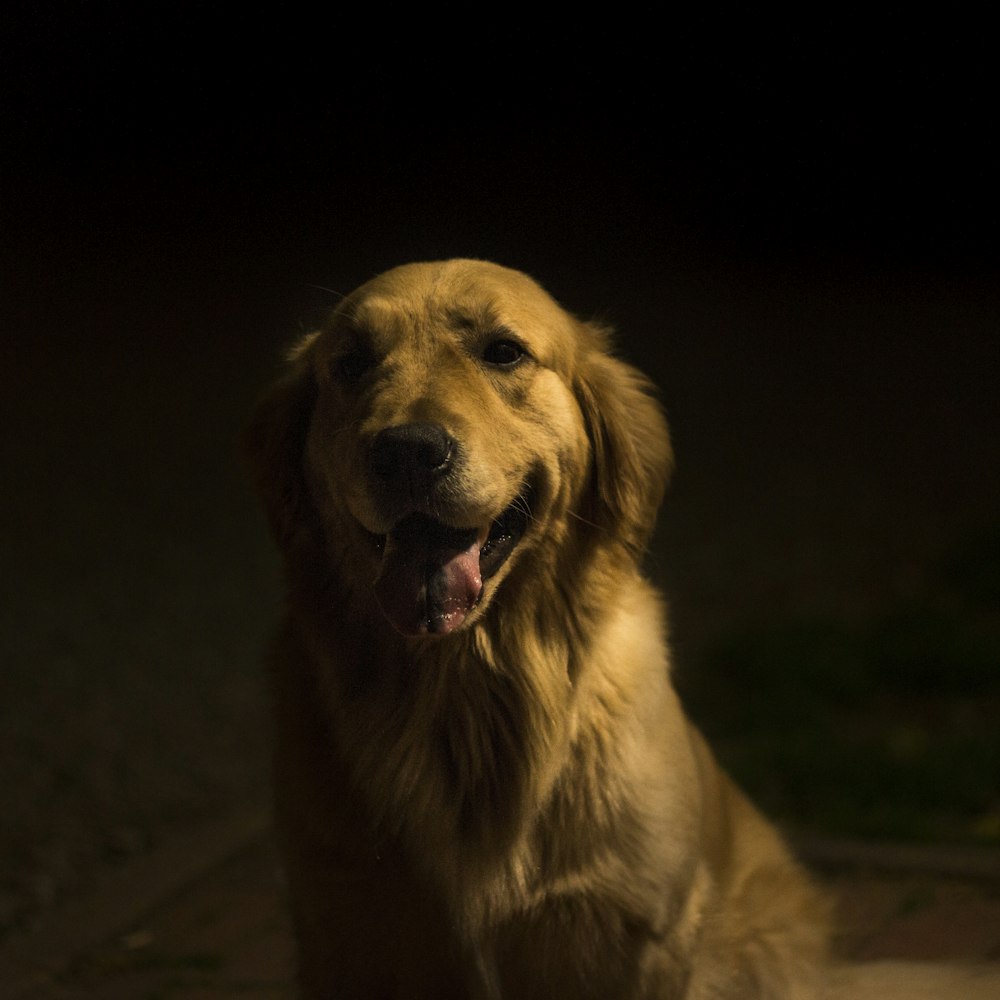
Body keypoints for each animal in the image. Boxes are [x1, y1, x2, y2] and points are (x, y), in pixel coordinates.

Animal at [248, 262, 1000, 996]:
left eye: (503, 351)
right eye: (350, 363)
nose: (406, 451)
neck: (467, 695)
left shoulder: (635, 933)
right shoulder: (343, 929)